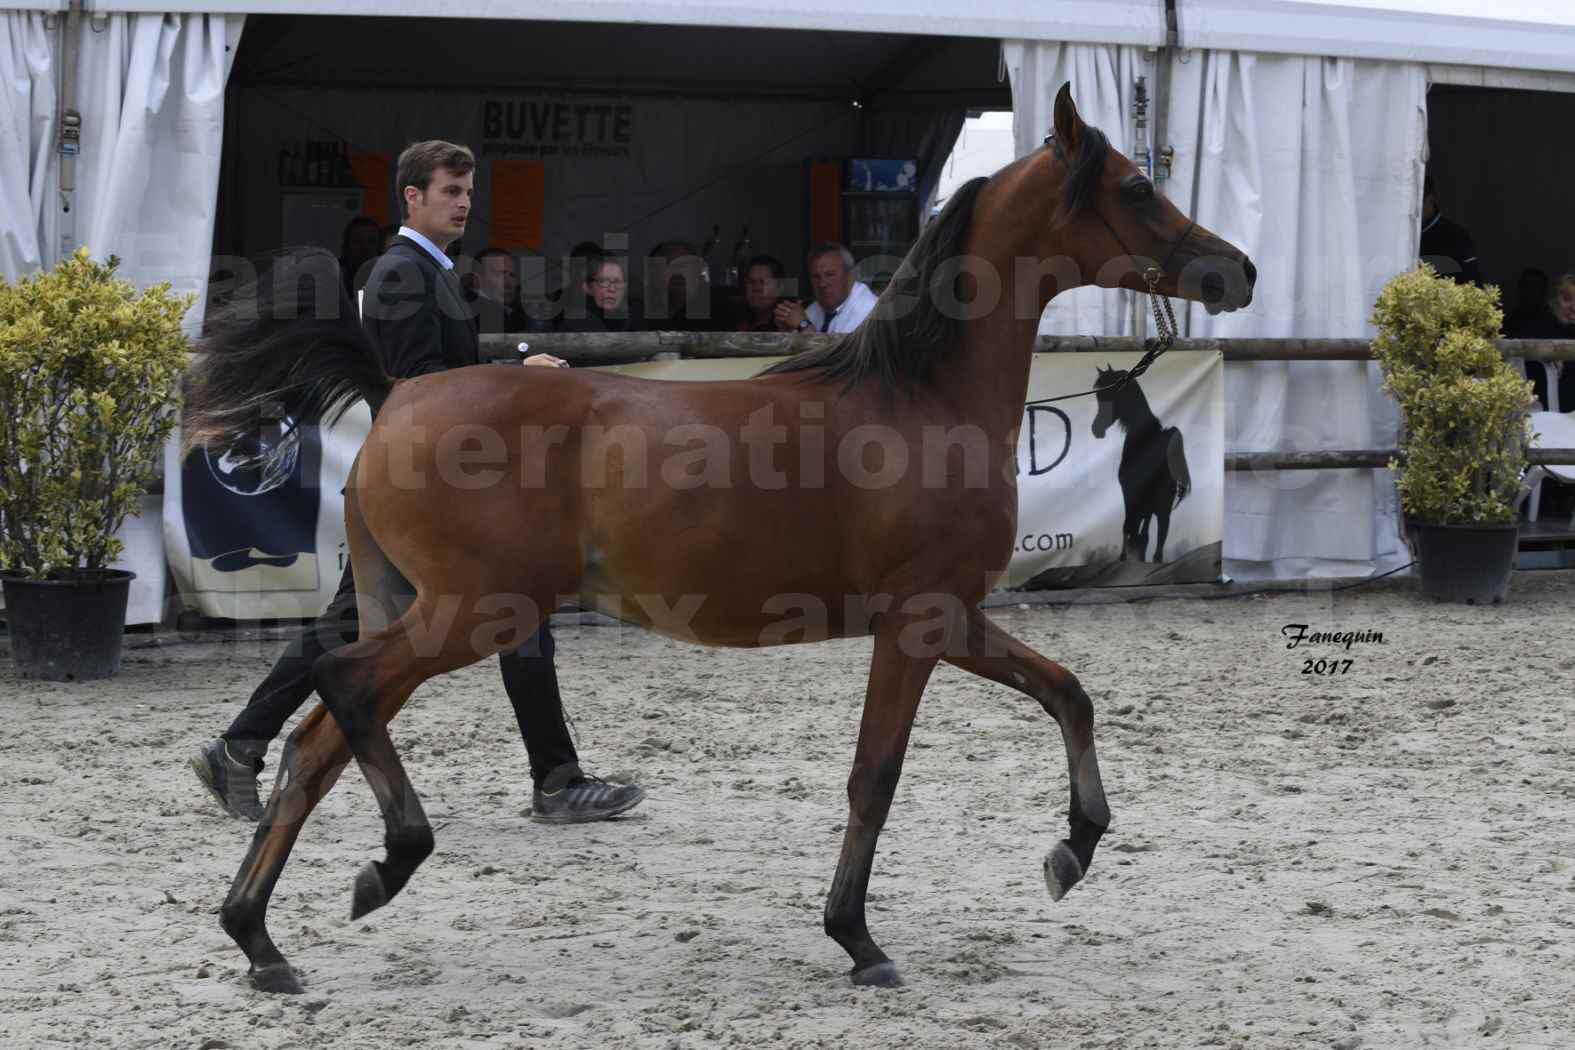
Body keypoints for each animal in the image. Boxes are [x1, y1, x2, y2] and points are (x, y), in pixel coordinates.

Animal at [181, 86, 1253, 1001]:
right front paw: (858, 939)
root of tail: (397, 392)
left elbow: (1066, 693)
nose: (1234, 270)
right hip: (471, 613)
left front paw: (1072, 851)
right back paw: (385, 865)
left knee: (314, 742)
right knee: (344, 690)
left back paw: (261, 941)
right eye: (1137, 187)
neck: (918, 400)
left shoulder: (954, 616)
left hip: (416, 606)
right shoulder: (915, 623)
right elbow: (875, 776)